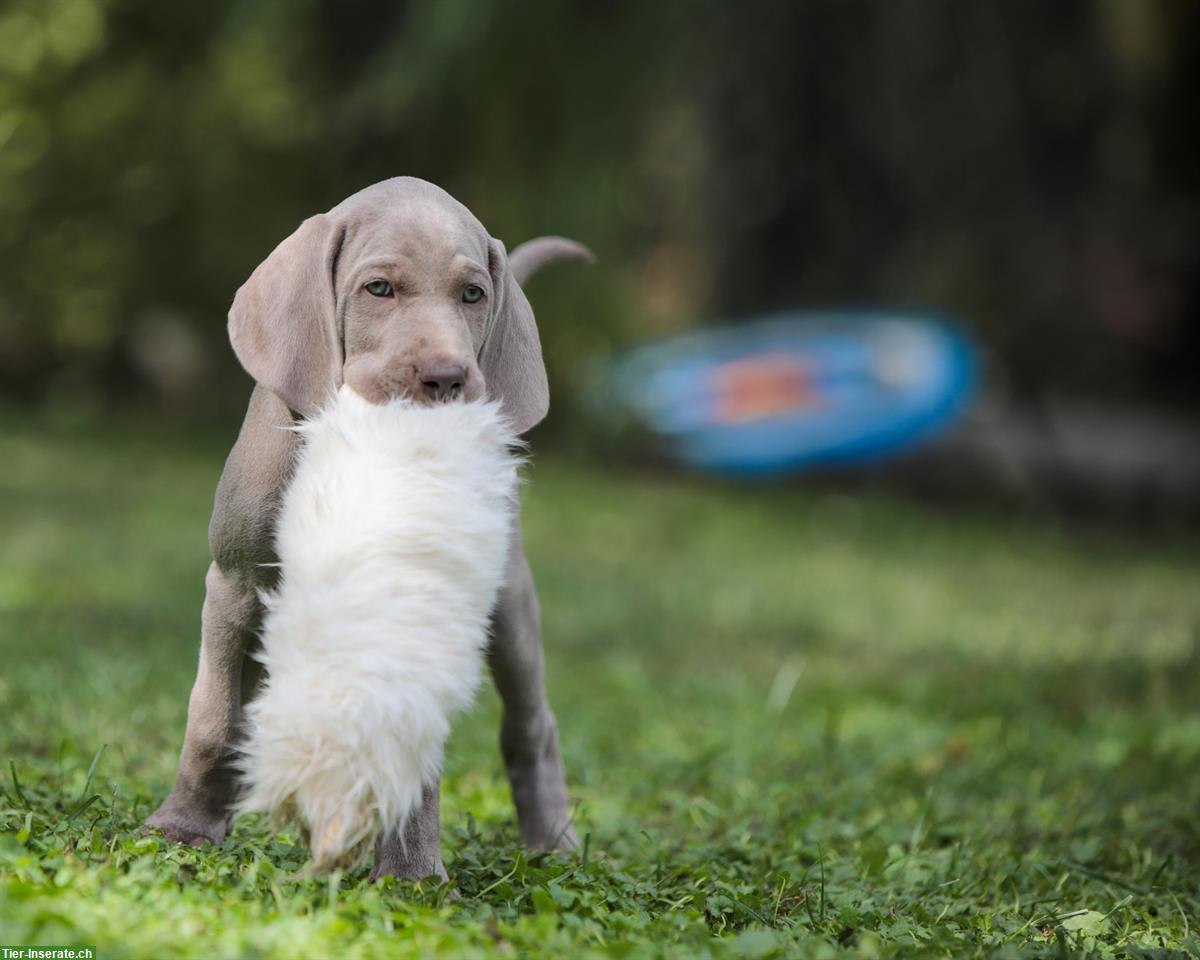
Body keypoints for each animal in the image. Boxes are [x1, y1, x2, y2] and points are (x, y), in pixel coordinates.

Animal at [145, 176, 590, 883]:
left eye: (473, 295)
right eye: (379, 289)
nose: (447, 377)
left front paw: (410, 873)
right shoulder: (234, 583)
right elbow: (213, 717)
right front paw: (183, 826)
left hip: (510, 602)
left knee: (531, 723)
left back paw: (551, 840)